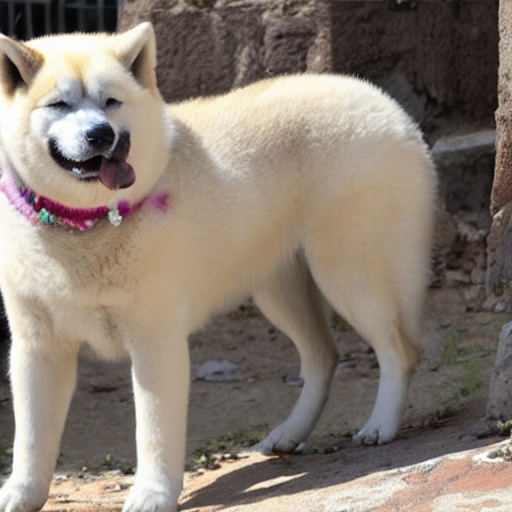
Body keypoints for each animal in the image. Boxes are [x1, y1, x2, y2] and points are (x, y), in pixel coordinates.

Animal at [0, 22, 436, 510]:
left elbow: (154, 433)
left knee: (399, 351)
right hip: (279, 292)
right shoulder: (37, 348)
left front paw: (152, 494)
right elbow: (31, 438)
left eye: (110, 102)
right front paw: (20, 494)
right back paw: (290, 434)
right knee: (324, 357)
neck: (86, 224)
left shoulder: (156, 342)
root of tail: (384, 103)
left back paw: (380, 425)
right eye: (59, 104)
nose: (101, 135)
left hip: (348, 276)